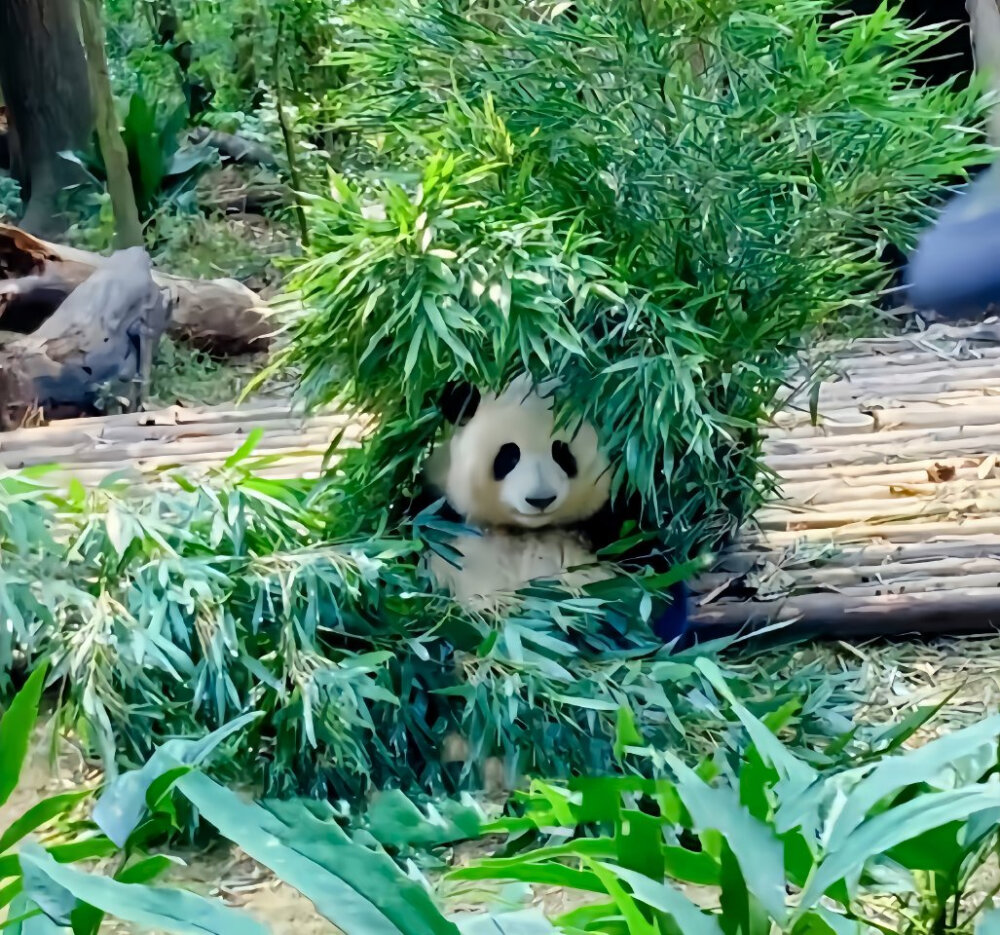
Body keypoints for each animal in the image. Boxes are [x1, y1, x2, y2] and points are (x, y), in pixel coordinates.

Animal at [410, 372, 692, 644]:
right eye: (509, 456)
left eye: (562, 453)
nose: (541, 500)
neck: (527, 528)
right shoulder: (438, 512)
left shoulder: (614, 519)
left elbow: (656, 578)